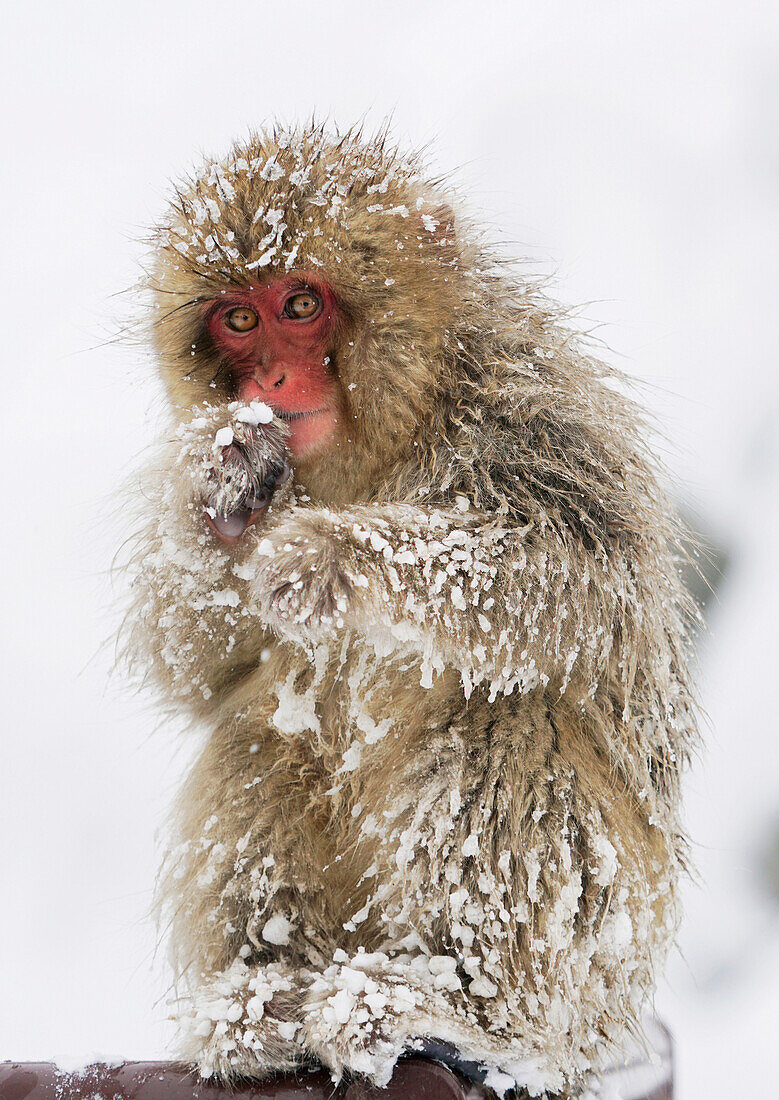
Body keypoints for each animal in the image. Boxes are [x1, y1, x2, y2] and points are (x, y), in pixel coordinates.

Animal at [124, 124, 695, 1095]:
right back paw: (262, 1001)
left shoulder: (537, 415)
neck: (379, 446)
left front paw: (336, 556)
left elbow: (579, 585)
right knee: (259, 738)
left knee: (504, 721)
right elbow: (202, 672)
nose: (271, 375)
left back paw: (467, 1015)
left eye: (301, 303)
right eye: (238, 320)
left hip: (603, 959)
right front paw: (219, 483)